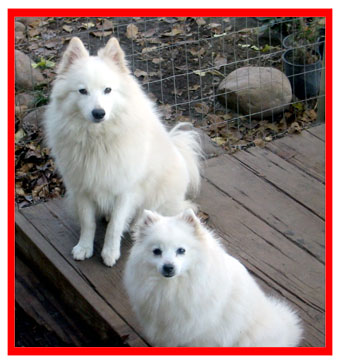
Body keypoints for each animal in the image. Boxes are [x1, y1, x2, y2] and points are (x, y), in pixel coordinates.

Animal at [43, 37, 201, 266]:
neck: (97, 139)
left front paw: (110, 253)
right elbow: (88, 223)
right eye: (82, 91)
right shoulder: (82, 187)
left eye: (107, 90)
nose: (98, 113)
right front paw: (84, 247)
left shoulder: (126, 190)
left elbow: (115, 225)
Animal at [123, 209, 302, 346]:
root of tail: (284, 329)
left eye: (181, 250)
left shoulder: (201, 334)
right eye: (156, 251)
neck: (172, 287)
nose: (168, 267)